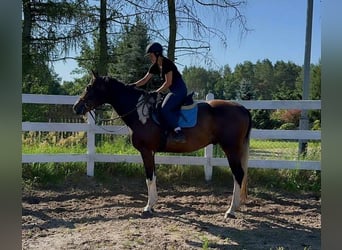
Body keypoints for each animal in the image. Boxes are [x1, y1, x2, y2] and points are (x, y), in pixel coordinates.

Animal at [73, 71, 252, 218]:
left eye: (89, 87)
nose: (76, 107)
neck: (141, 112)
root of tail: (242, 108)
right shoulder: (151, 152)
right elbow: (153, 176)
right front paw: (153, 204)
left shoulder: (146, 151)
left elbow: (149, 178)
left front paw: (148, 207)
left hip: (231, 149)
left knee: (238, 175)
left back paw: (231, 210)